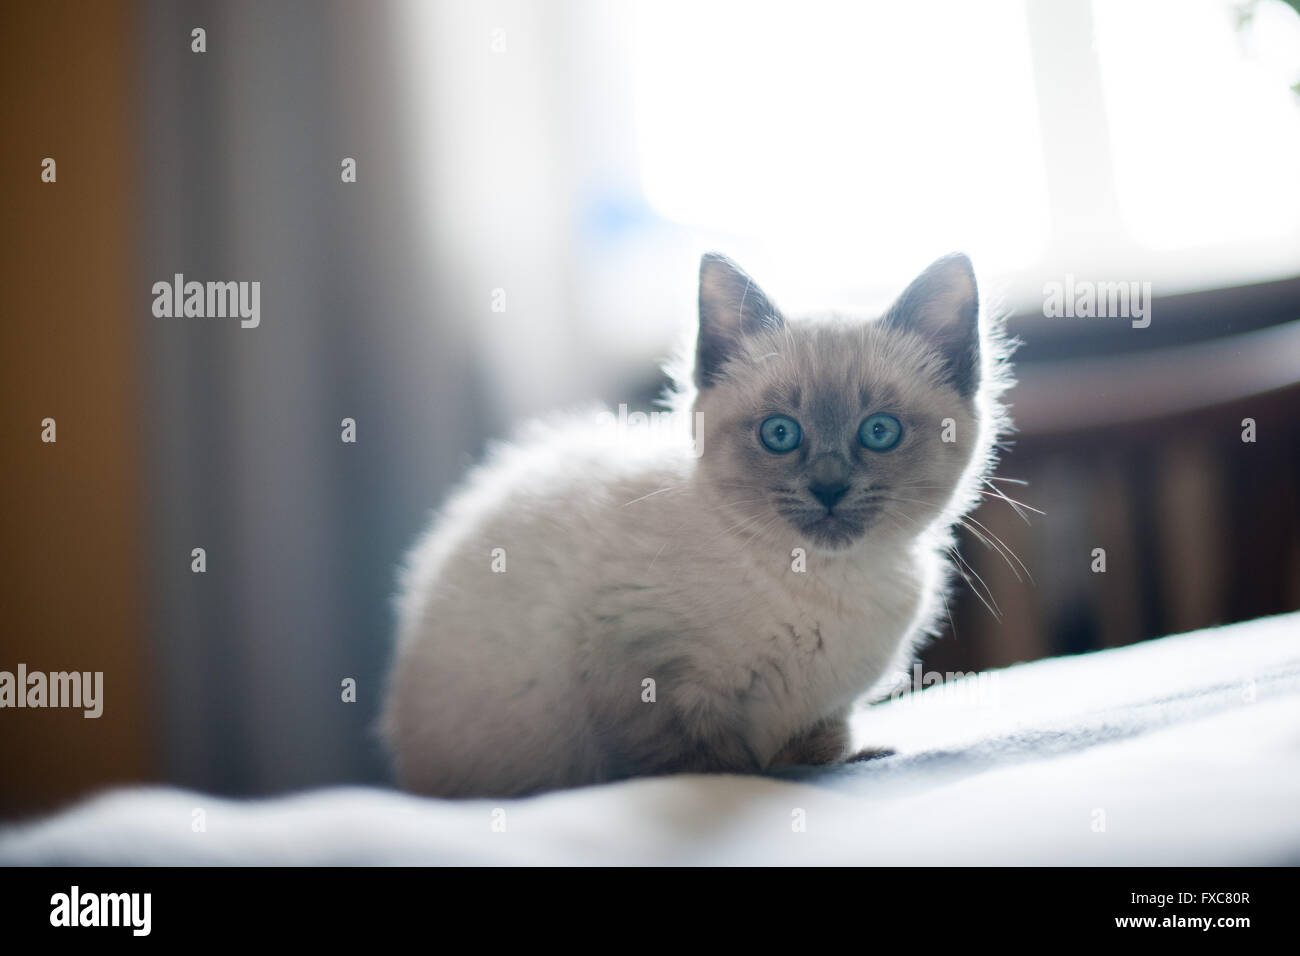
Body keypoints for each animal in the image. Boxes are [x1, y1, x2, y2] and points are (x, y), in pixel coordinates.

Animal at [379, 251, 1008, 796]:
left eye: (880, 431)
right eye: (780, 433)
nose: (828, 487)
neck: (827, 585)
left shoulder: (825, 709)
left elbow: (819, 752)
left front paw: (852, 759)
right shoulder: (641, 665)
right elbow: (706, 768)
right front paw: (743, 781)